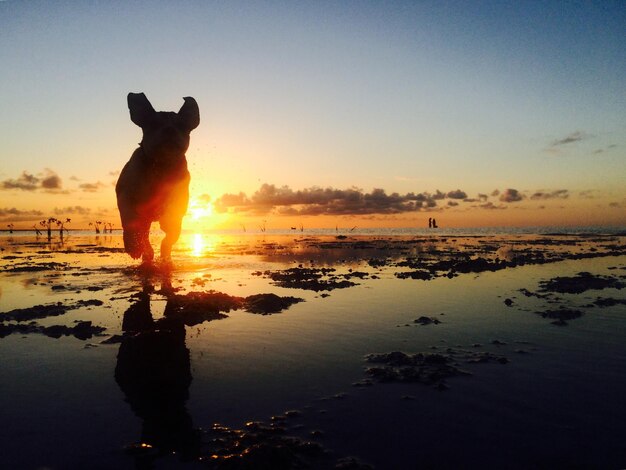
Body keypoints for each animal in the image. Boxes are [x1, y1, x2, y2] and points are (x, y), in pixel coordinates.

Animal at [114, 92, 197, 260]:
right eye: (153, 124)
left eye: (182, 126)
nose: (169, 129)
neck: (161, 165)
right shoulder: (125, 196)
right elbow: (129, 219)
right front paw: (133, 246)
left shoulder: (179, 198)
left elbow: (172, 230)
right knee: (142, 232)